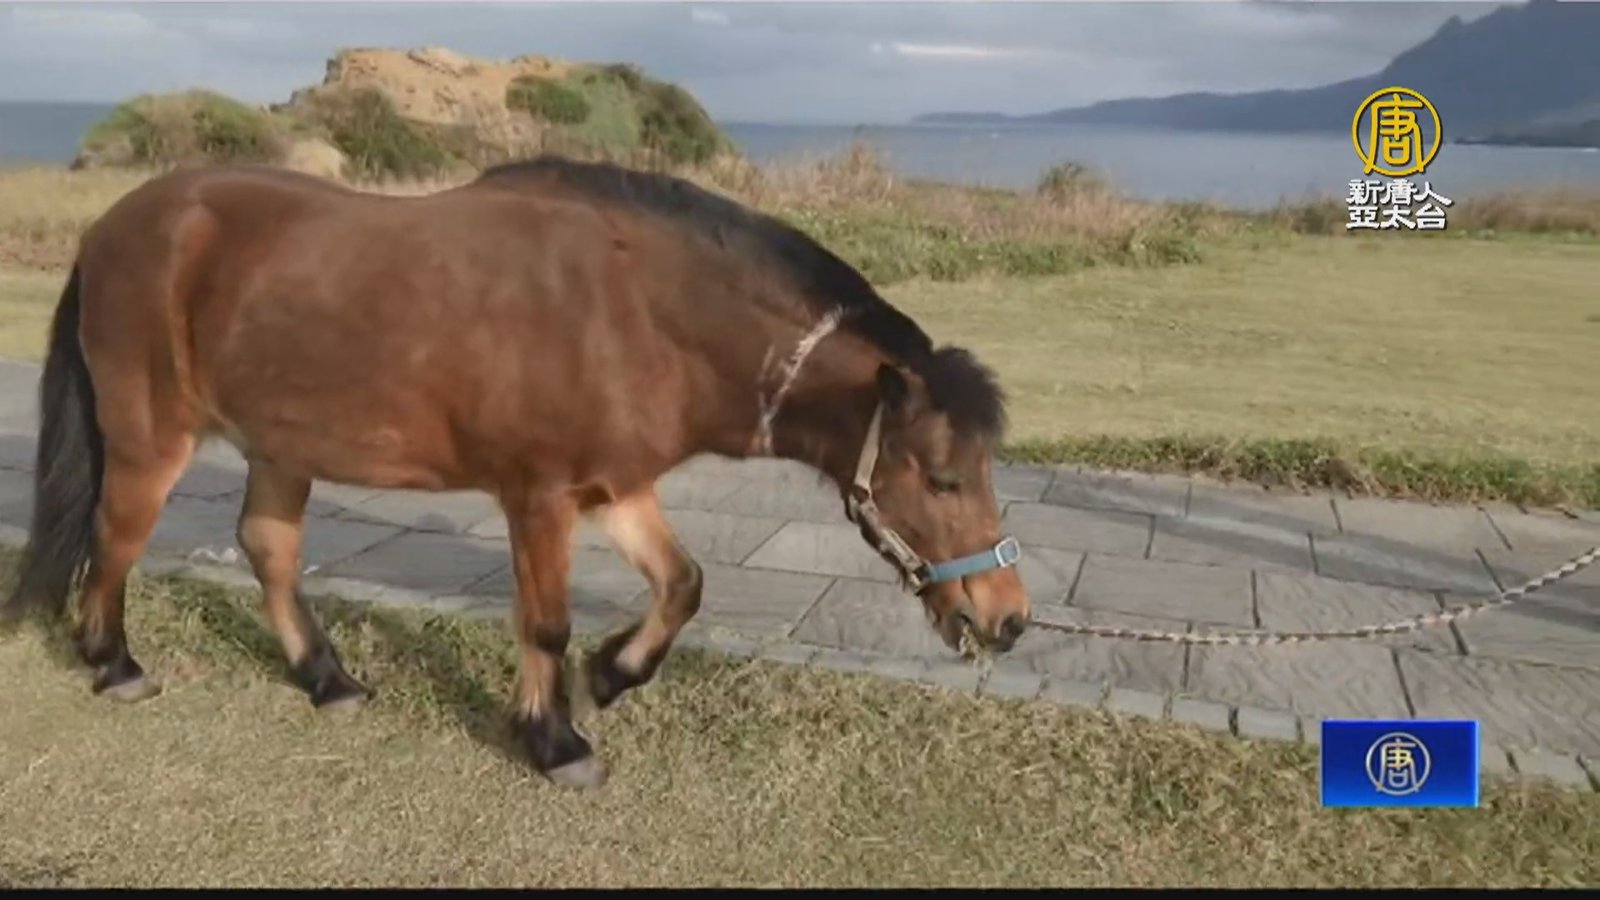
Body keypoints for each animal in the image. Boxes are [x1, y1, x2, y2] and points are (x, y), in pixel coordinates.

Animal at [0, 155, 1031, 788]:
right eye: (942, 477)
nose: (1008, 618)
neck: (634, 310)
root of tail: (113, 226)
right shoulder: (539, 496)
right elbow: (544, 620)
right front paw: (555, 738)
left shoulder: (616, 487)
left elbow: (683, 585)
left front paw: (609, 676)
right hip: (151, 440)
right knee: (115, 539)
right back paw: (113, 663)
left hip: (279, 444)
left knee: (269, 549)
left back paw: (327, 679)